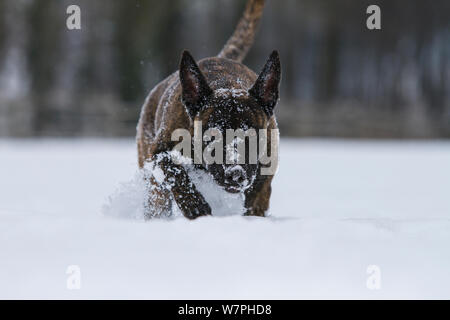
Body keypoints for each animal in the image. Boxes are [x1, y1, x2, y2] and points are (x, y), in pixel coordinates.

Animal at [135, 0, 280, 220]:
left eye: (252, 134)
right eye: (212, 135)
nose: (235, 173)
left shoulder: (264, 173)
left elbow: (256, 199)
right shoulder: (159, 151)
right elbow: (175, 171)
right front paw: (194, 205)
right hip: (154, 184)